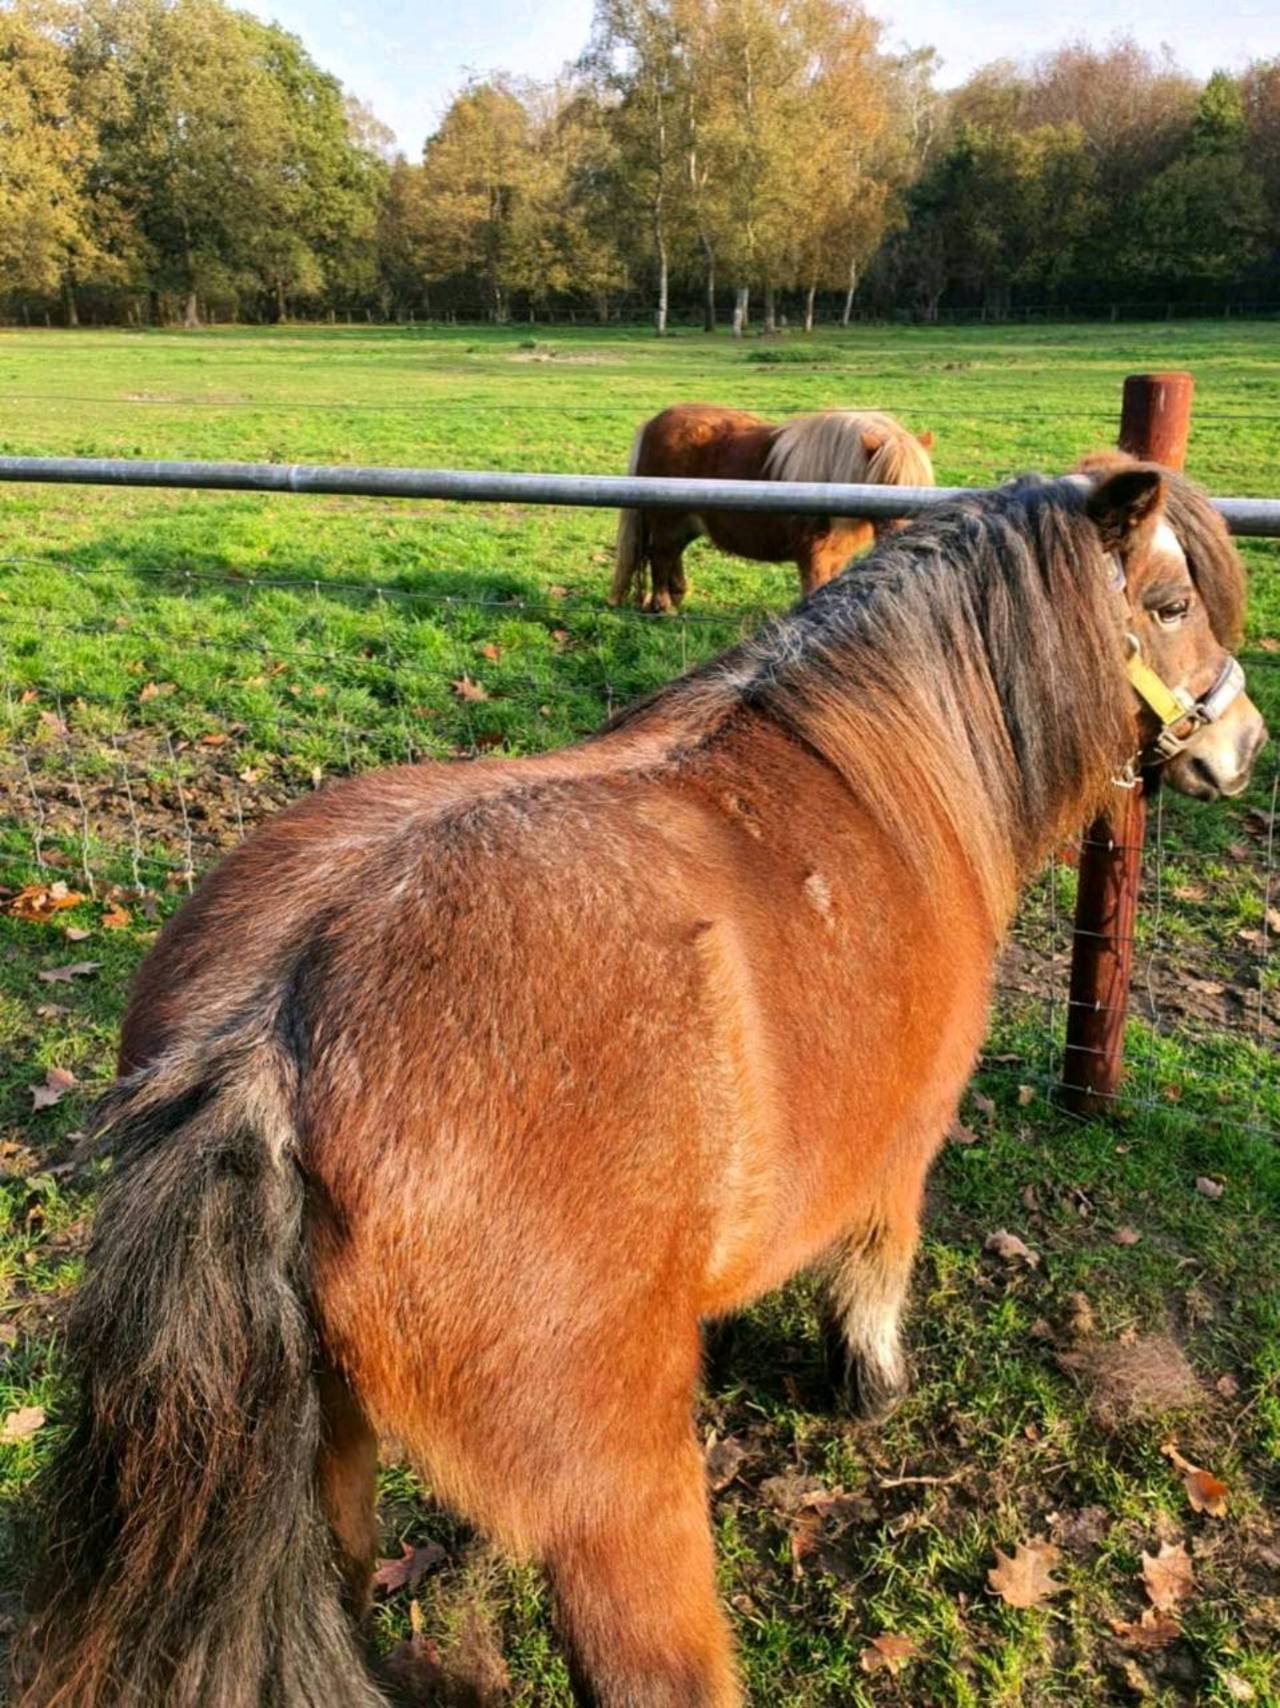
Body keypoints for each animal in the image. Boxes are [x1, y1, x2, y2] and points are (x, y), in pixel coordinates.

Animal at [24, 467, 1264, 1708]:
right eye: (1165, 603)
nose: (1244, 741)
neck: (878, 779)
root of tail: (267, 1047)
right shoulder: (897, 1153)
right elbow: (873, 1273)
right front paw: (866, 1384)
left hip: (334, 1454)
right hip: (614, 1501)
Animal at [604, 403, 936, 611]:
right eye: (885, 484)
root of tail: (654, 422)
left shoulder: (837, 559)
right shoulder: (813, 557)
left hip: (684, 524)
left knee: (673, 555)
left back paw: (677, 596)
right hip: (667, 521)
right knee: (661, 556)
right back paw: (663, 606)